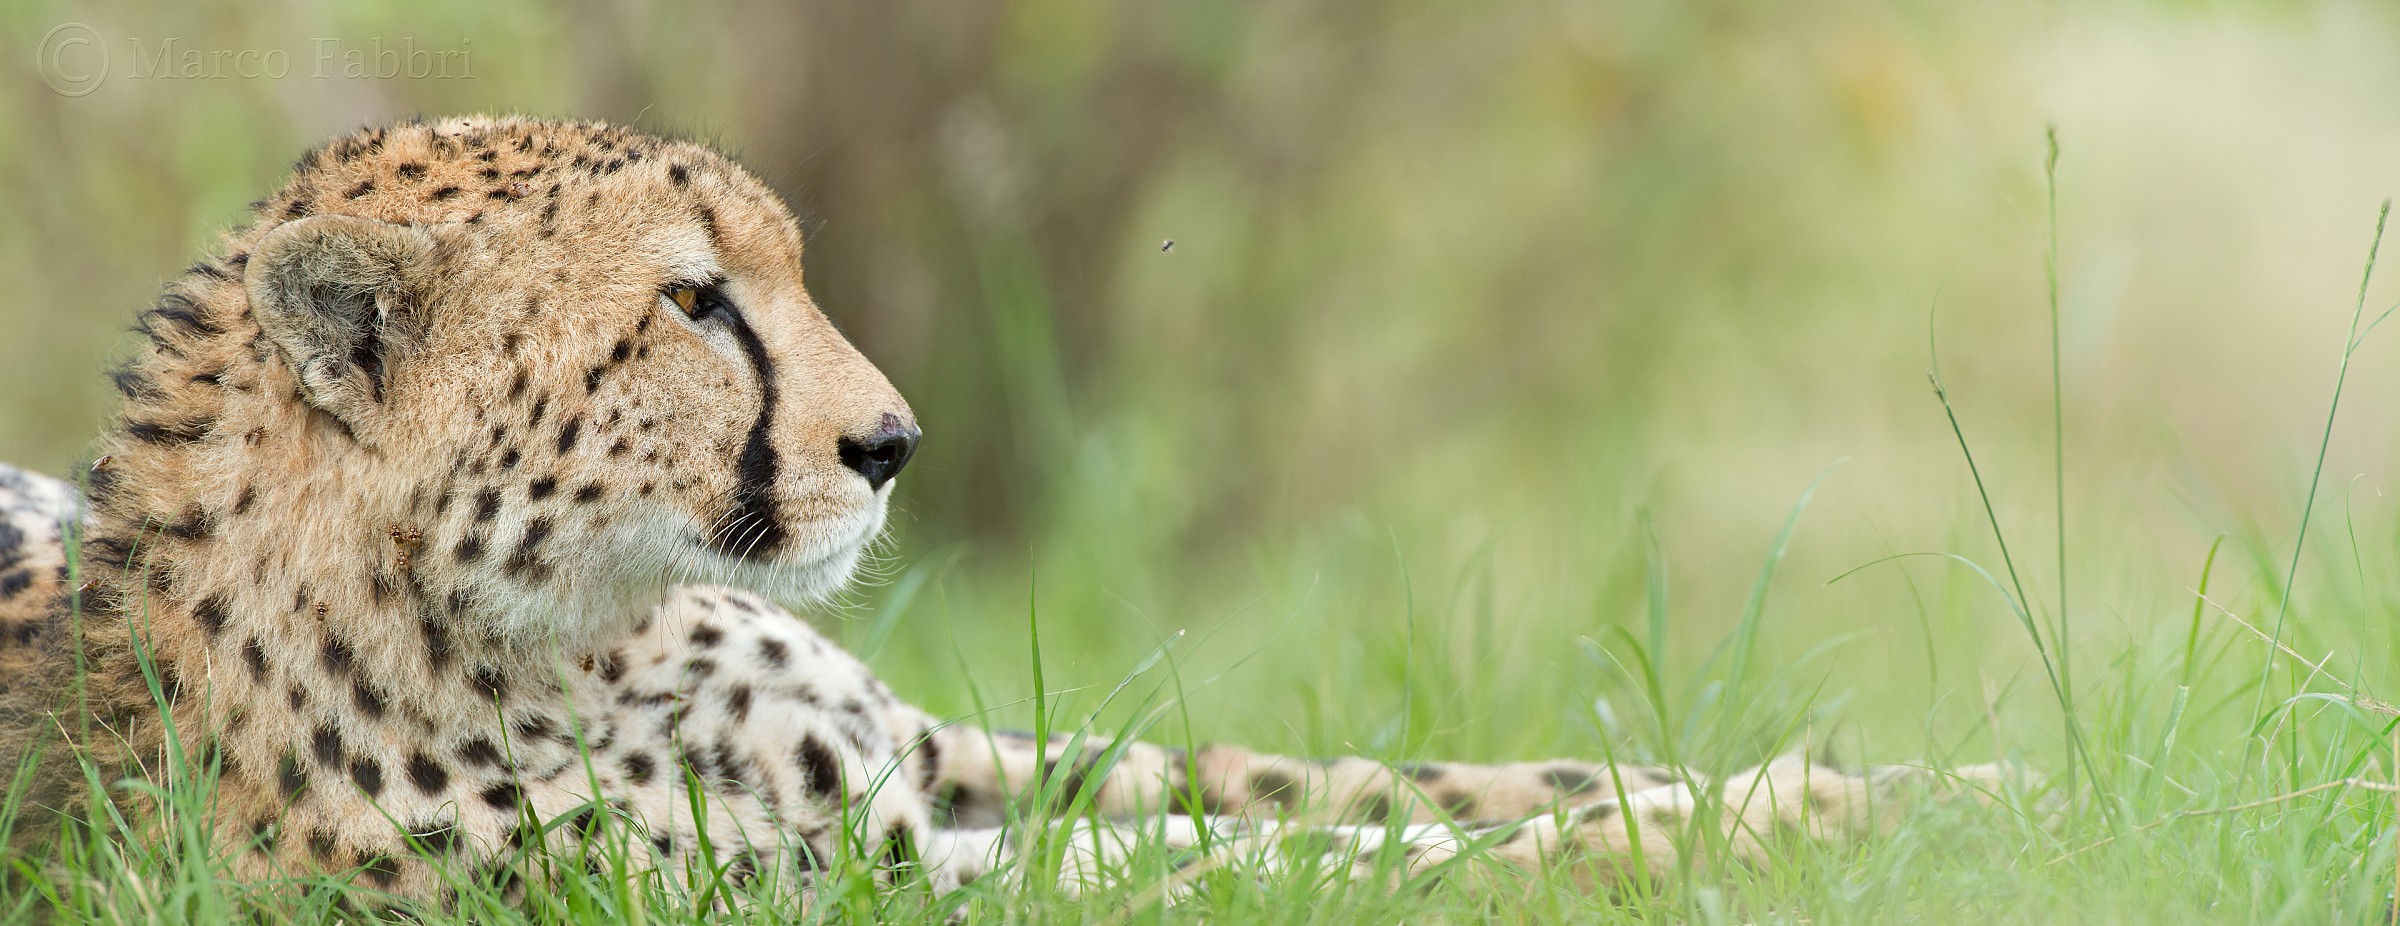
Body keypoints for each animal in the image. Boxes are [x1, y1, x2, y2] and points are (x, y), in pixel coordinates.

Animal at [0, 115, 2022, 908]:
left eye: (774, 272)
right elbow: (1294, 861)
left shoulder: (930, 763)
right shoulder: (868, 882)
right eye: (693, 302)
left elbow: (1339, 778)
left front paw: (1912, 784)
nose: (892, 442)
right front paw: (1719, 843)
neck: (582, 639)